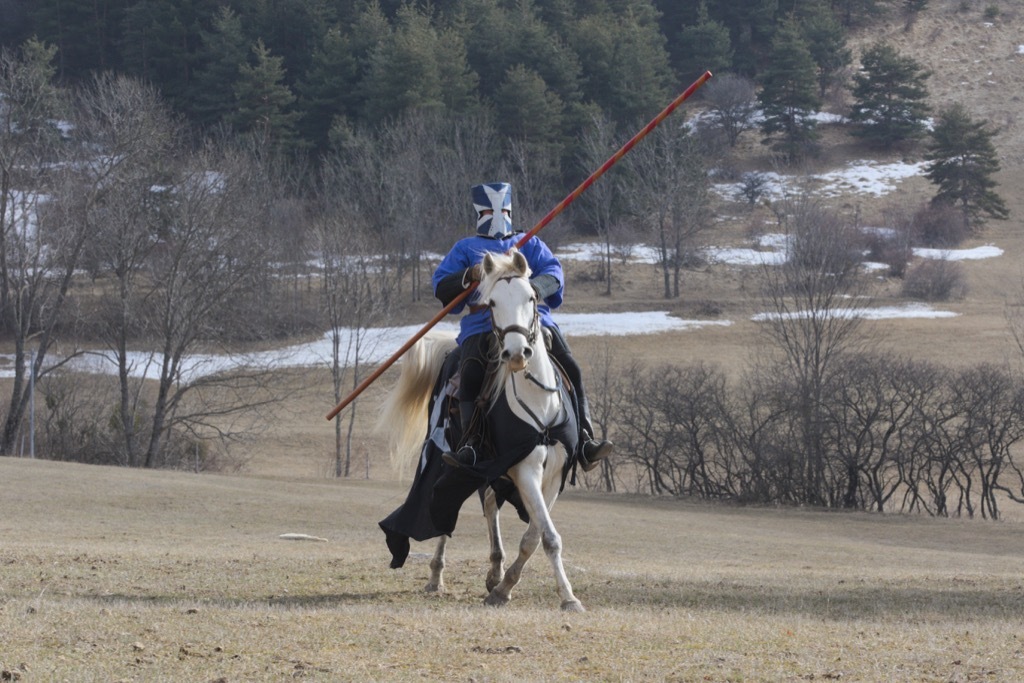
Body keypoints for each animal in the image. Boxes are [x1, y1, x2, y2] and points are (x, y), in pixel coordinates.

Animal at [378, 249, 585, 614]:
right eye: (491, 303)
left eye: (532, 298)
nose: (517, 354)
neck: (538, 401)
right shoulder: (525, 469)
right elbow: (548, 537)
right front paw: (567, 597)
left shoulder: (554, 475)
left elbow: (534, 537)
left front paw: (504, 586)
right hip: (449, 459)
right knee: (443, 513)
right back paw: (436, 577)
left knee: (489, 504)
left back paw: (494, 569)